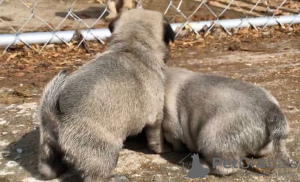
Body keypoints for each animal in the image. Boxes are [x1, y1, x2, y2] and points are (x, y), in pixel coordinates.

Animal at [38, 8, 173, 182]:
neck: (130, 48)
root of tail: (54, 115)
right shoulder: (155, 117)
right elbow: (157, 137)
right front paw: (163, 148)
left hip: (47, 146)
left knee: (48, 168)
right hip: (105, 150)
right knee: (97, 175)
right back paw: (115, 177)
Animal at [163, 67, 292, 176]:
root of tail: (270, 109)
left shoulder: (170, 125)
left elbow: (174, 140)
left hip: (211, 139)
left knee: (228, 166)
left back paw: (204, 165)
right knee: (263, 150)